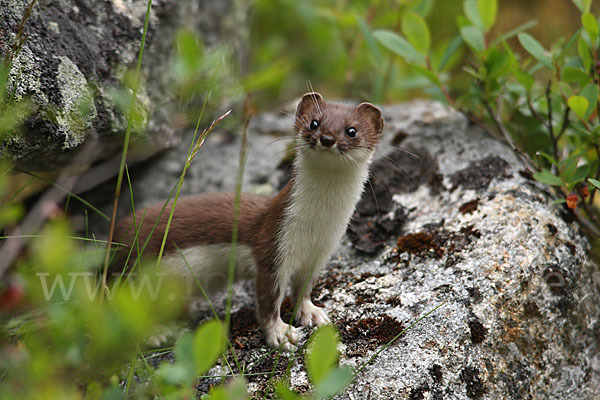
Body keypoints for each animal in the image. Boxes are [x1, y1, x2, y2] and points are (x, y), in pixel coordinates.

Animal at [112, 94, 384, 350]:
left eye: (351, 130)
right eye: (314, 123)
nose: (327, 138)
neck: (318, 225)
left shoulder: (321, 252)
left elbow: (303, 288)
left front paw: (312, 313)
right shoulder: (273, 245)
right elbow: (268, 300)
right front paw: (280, 333)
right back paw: (154, 334)